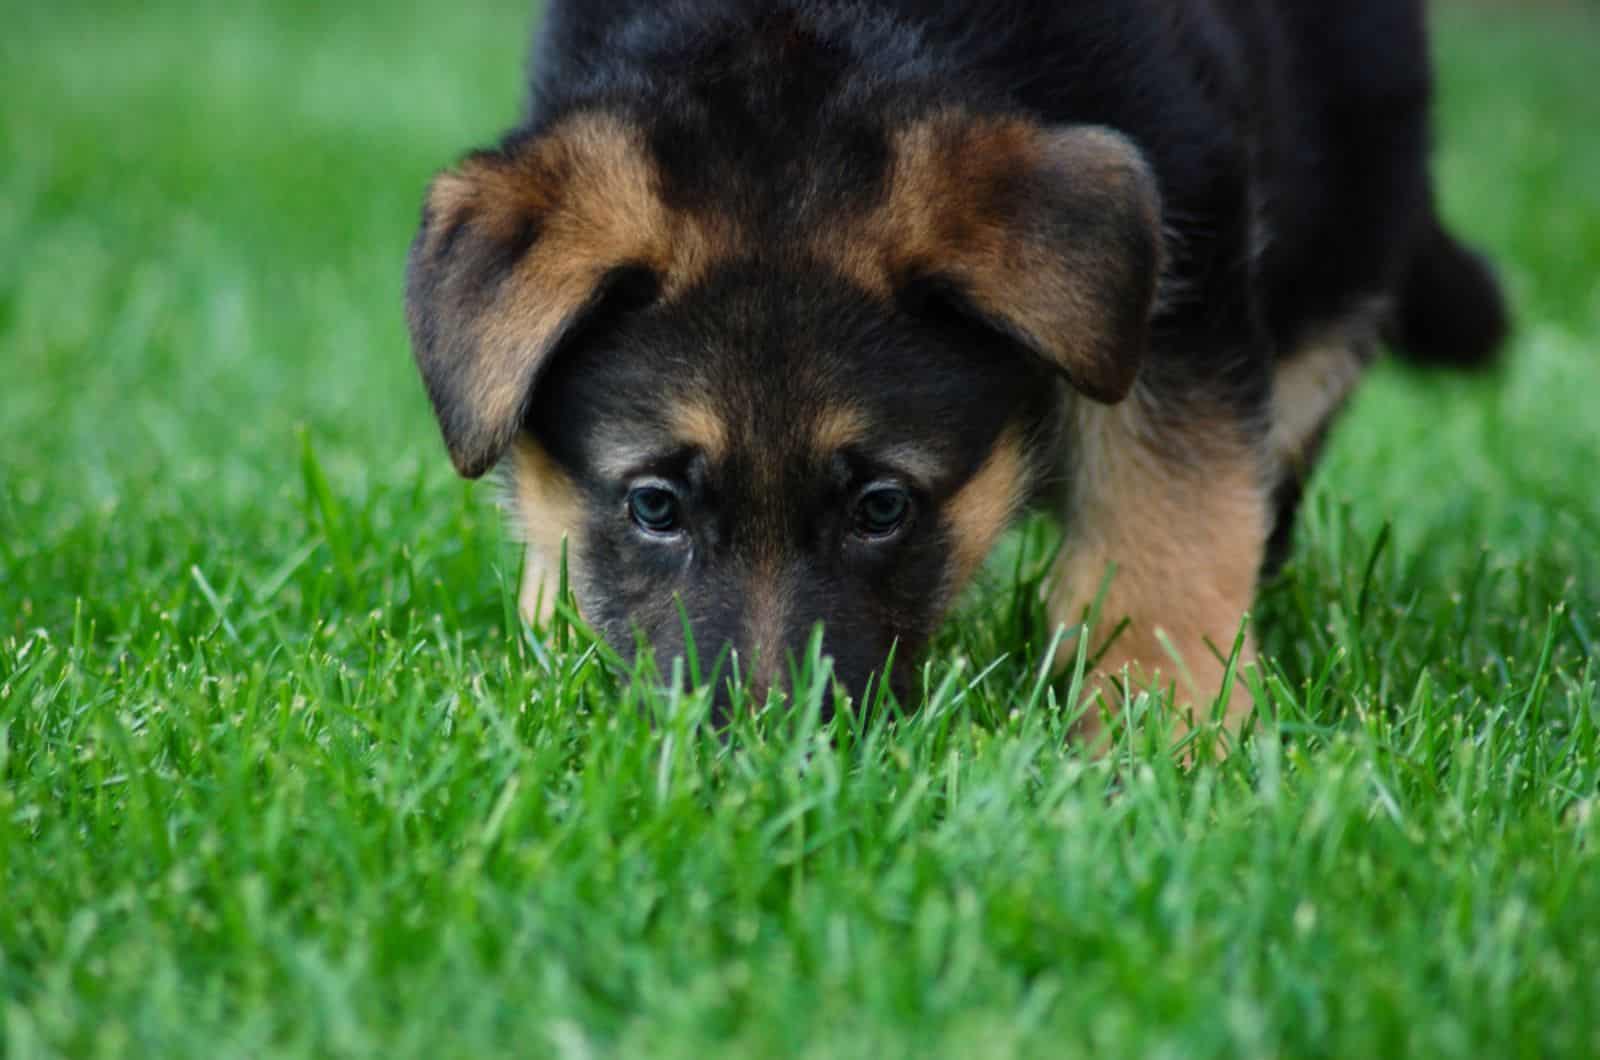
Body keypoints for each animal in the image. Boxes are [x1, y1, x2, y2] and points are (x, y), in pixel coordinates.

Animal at [406, 0, 1504, 730]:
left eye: (881, 506)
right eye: (654, 506)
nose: (769, 746)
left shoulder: (1184, 259)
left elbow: (1168, 517)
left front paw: (1164, 733)